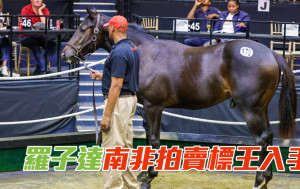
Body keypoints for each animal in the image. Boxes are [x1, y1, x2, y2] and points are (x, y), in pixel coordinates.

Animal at [62, 9, 296, 189]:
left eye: (82, 28)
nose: (66, 54)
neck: (146, 54)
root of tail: (270, 53)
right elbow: (148, 138)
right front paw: (143, 174)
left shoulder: (153, 106)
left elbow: (153, 140)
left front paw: (148, 178)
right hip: (261, 108)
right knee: (269, 137)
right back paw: (266, 179)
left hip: (250, 109)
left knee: (261, 139)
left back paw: (258, 181)